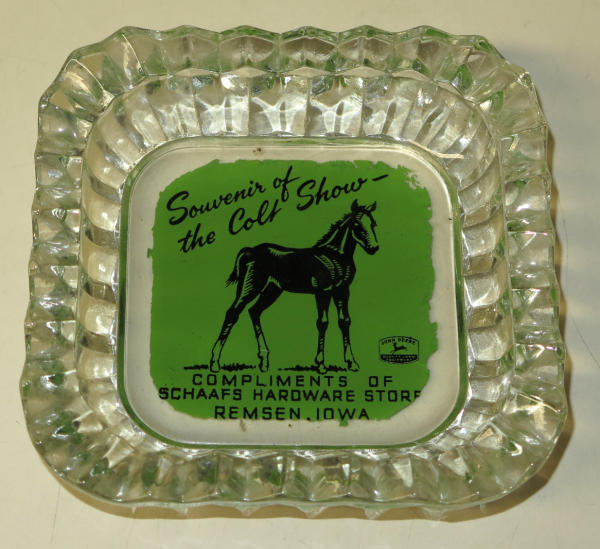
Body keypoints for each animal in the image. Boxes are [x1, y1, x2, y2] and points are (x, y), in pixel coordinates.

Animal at [209, 199, 379, 374]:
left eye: (373, 224)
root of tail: (249, 251)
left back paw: (264, 360)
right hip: (251, 286)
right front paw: (321, 364)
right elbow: (323, 322)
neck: (335, 256)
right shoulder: (323, 292)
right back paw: (215, 362)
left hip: (272, 290)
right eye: (356, 224)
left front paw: (351, 362)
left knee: (254, 311)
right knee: (232, 313)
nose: (374, 248)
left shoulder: (342, 291)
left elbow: (345, 321)